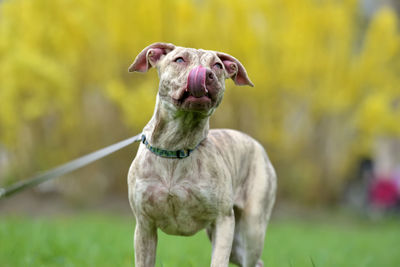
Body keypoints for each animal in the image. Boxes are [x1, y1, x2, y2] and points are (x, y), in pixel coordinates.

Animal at [126, 43, 276, 266]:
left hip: (252, 228)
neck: (175, 147)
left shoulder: (224, 220)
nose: (206, 74)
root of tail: (255, 144)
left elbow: (219, 260)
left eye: (218, 65)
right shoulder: (144, 225)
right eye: (179, 60)